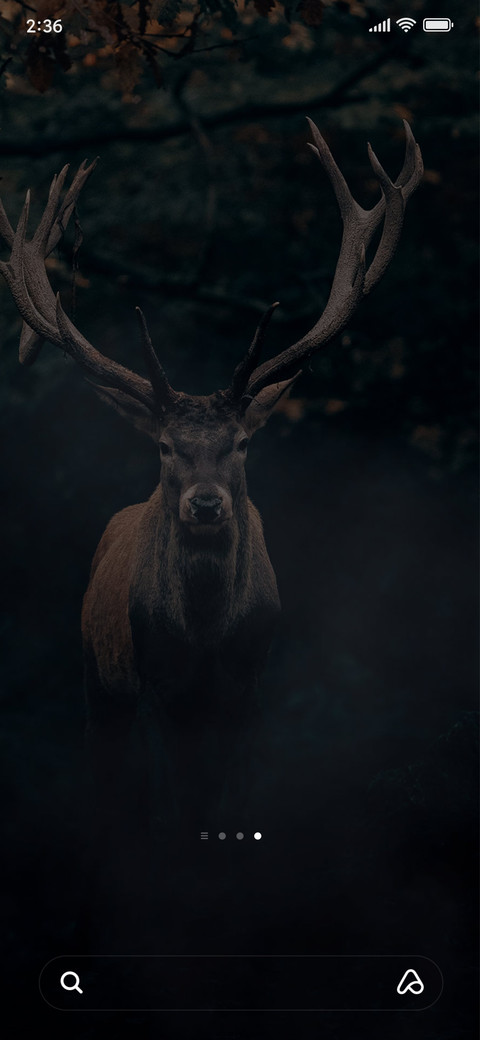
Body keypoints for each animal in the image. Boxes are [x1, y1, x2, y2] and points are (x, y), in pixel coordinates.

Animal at [0, 119, 423, 833]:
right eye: (166, 446)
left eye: (244, 442)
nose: (203, 505)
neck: (203, 638)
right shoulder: (152, 686)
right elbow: (165, 803)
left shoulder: (249, 687)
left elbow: (229, 797)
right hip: (95, 673)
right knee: (107, 779)